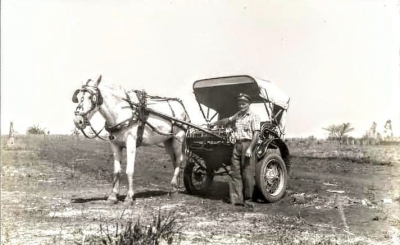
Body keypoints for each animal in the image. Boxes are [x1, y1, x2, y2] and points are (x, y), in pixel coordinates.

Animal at [72, 75, 190, 204]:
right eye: (78, 97)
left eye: (90, 97)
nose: (78, 121)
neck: (121, 112)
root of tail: (180, 106)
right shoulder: (115, 145)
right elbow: (116, 170)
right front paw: (113, 196)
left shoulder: (131, 144)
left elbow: (129, 170)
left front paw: (129, 197)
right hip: (168, 141)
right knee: (174, 161)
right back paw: (174, 188)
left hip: (178, 138)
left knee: (179, 160)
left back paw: (173, 189)